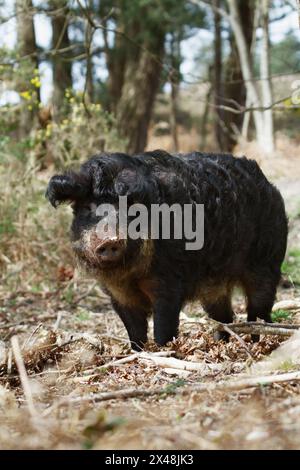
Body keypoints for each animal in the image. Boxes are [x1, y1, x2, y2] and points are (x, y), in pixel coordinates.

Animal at [45, 151, 288, 348]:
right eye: (88, 208)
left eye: (131, 209)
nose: (110, 239)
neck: (129, 276)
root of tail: (270, 186)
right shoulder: (118, 295)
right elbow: (134, 332)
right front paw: (138, 353)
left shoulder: (169, 283)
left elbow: (163, 327)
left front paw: (164, 351)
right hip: (214, 285)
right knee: (224, 316)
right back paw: (221, 342)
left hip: (267, 263)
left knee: (259, 310)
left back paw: (261, 342)